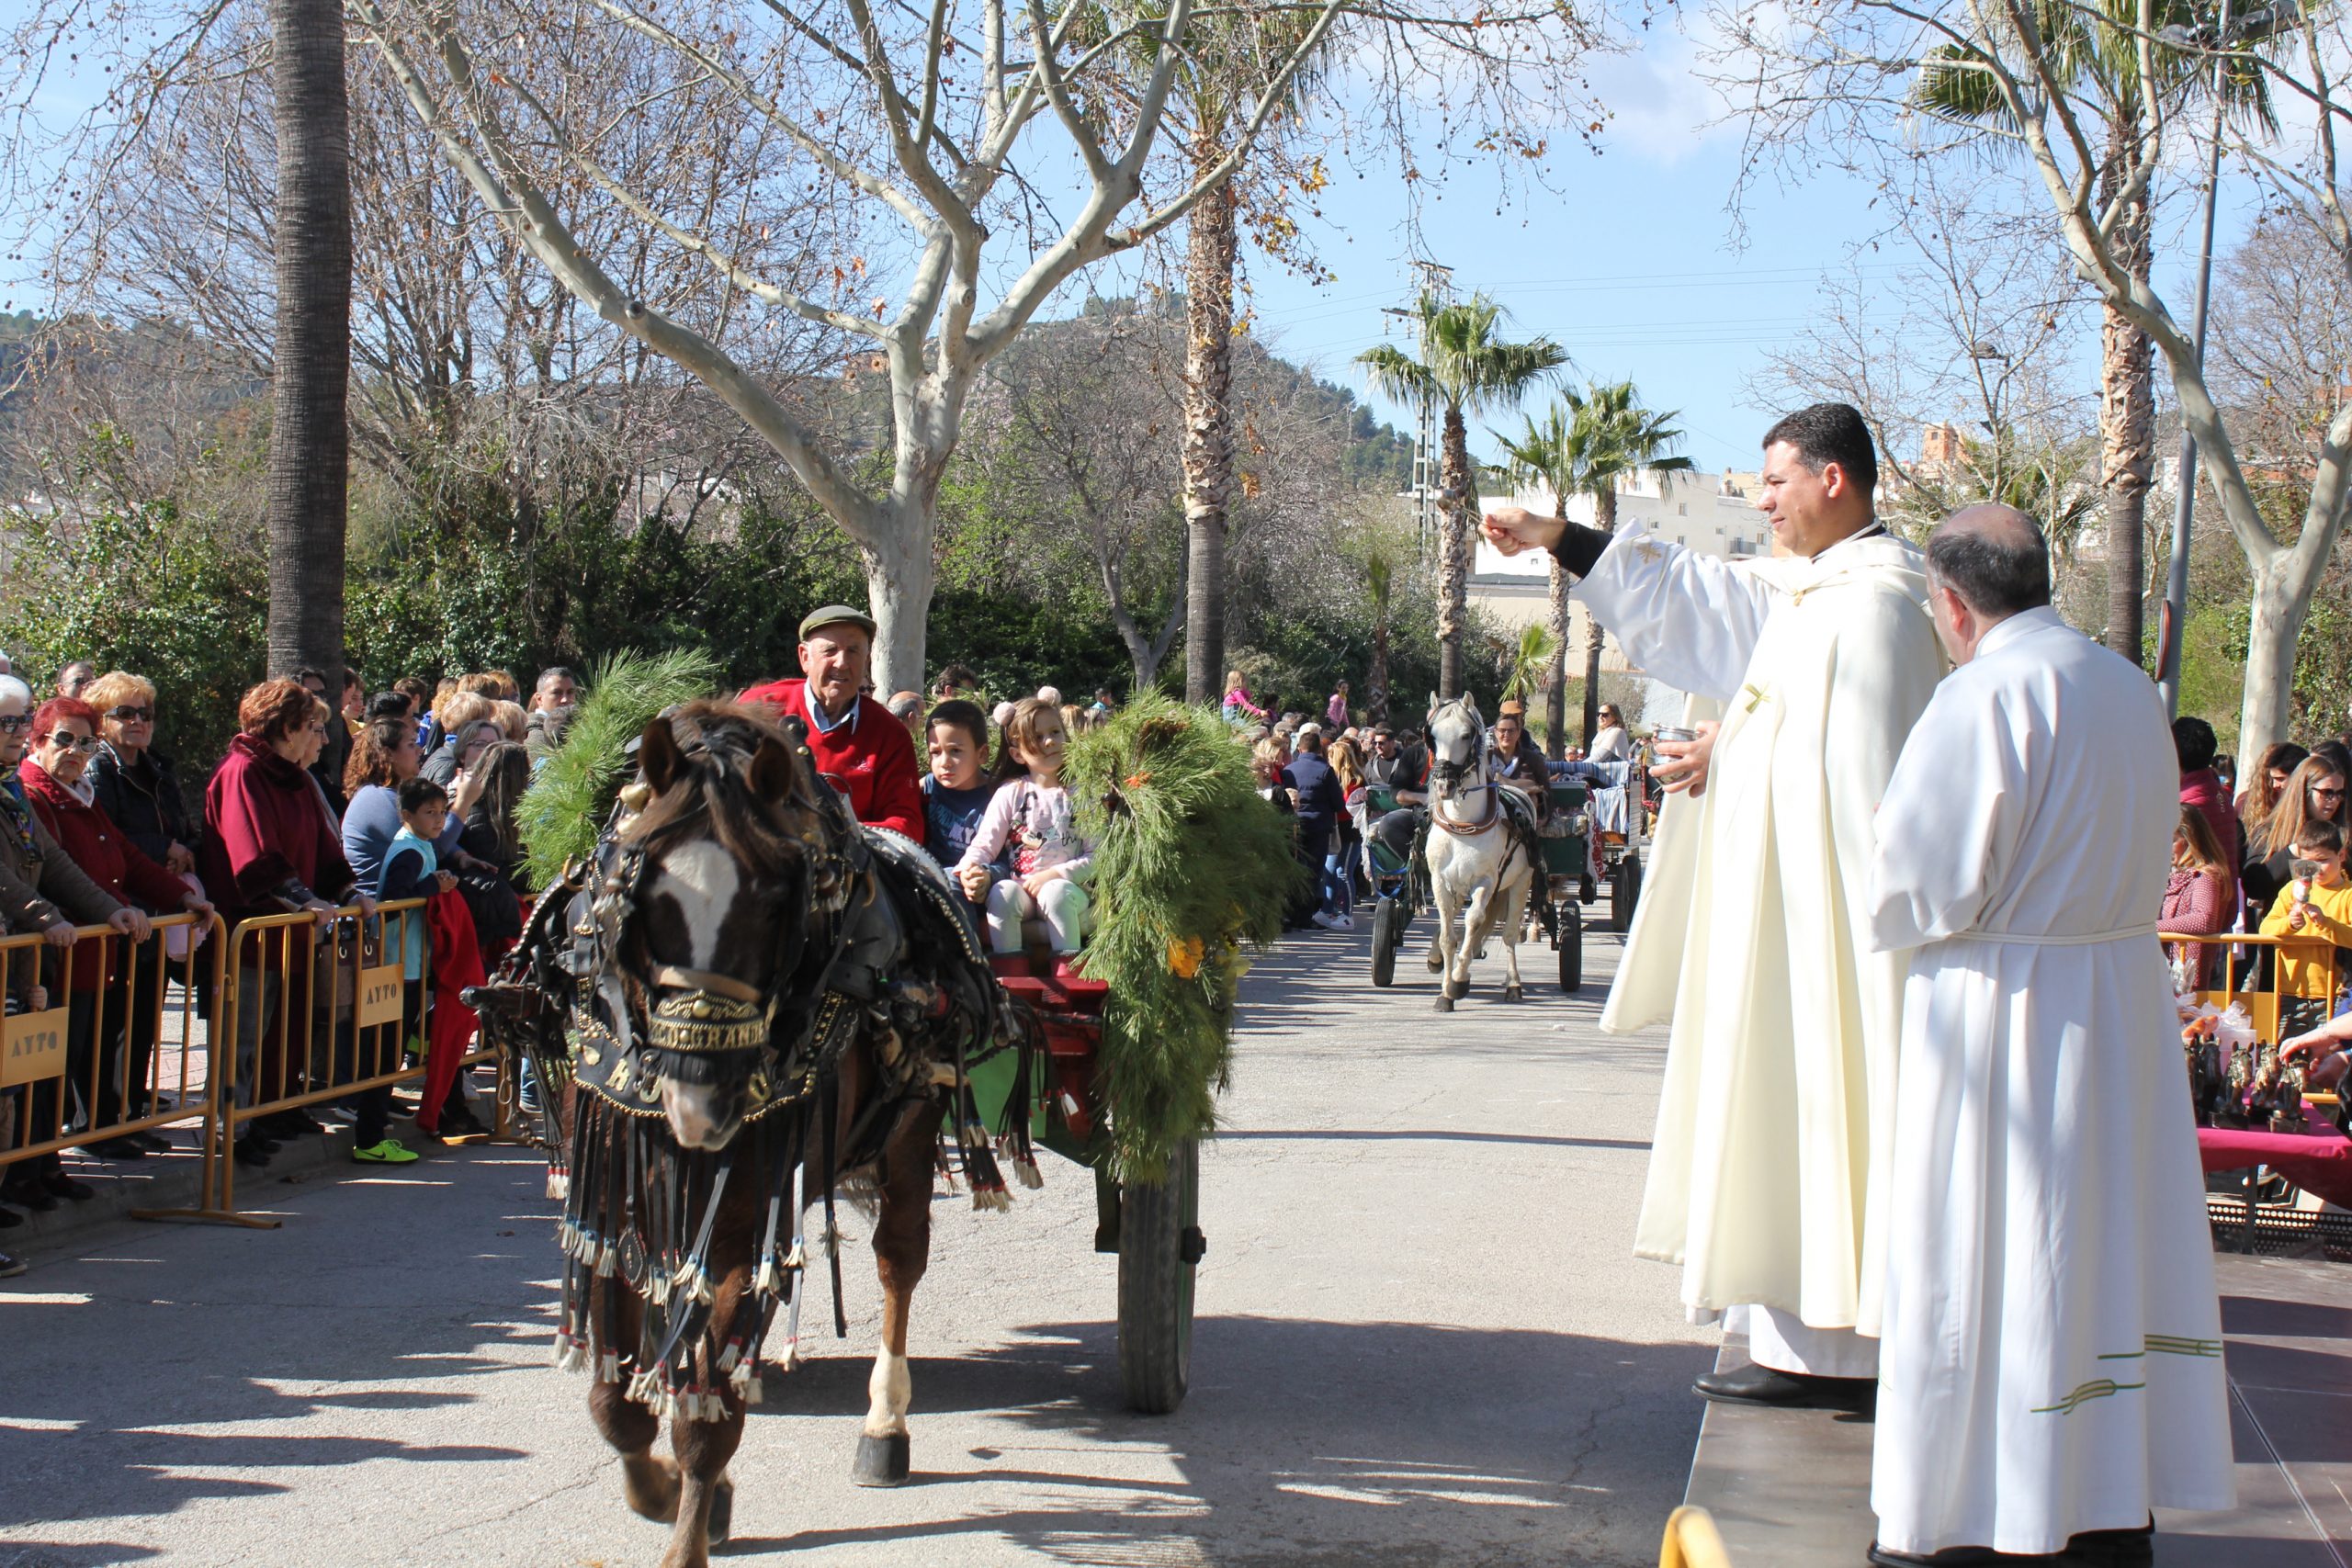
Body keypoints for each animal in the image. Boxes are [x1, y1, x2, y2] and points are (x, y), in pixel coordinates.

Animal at [473, 700, 1029, 1568]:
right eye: (645, 893)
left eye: (776, 901)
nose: (699, 1099)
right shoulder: (611, 1193)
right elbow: (615, 1398)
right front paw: (661, 1489)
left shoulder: (746, 1213)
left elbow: (709, 1414)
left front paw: (690, 1522)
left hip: (909, 1132)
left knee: (899, 1261)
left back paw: (885, 1424)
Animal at [1420, 694, 1539, 1013]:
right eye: (1432, 736)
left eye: (1466, 735)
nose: (1443, 784)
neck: (1462, 825)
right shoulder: (1441, 882)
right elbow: (1448, 935)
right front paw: (1445, 991)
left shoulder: (1486, 882)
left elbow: (1474, 921)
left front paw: (1458, 981)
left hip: (1520, 882)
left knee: (1508, 934)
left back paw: (1513, 984)